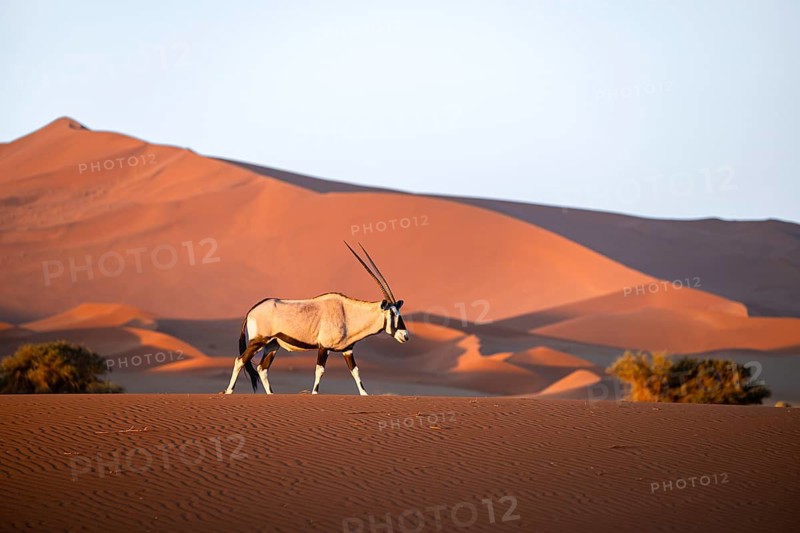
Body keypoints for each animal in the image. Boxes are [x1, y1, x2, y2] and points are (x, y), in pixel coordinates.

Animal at [223, 242, 409, 395]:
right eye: (392, 314)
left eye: (399, 313)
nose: (405, 336)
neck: (347, 313)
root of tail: (251, 310)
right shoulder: (323, 347)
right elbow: (320, 370)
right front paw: (314, 393)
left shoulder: (347, 350)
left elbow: (355, 372)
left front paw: (364, 394)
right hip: (258, 341)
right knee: (240, 360)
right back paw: (229, 391)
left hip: (272, 345)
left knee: (262, 368)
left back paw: (271, 394)